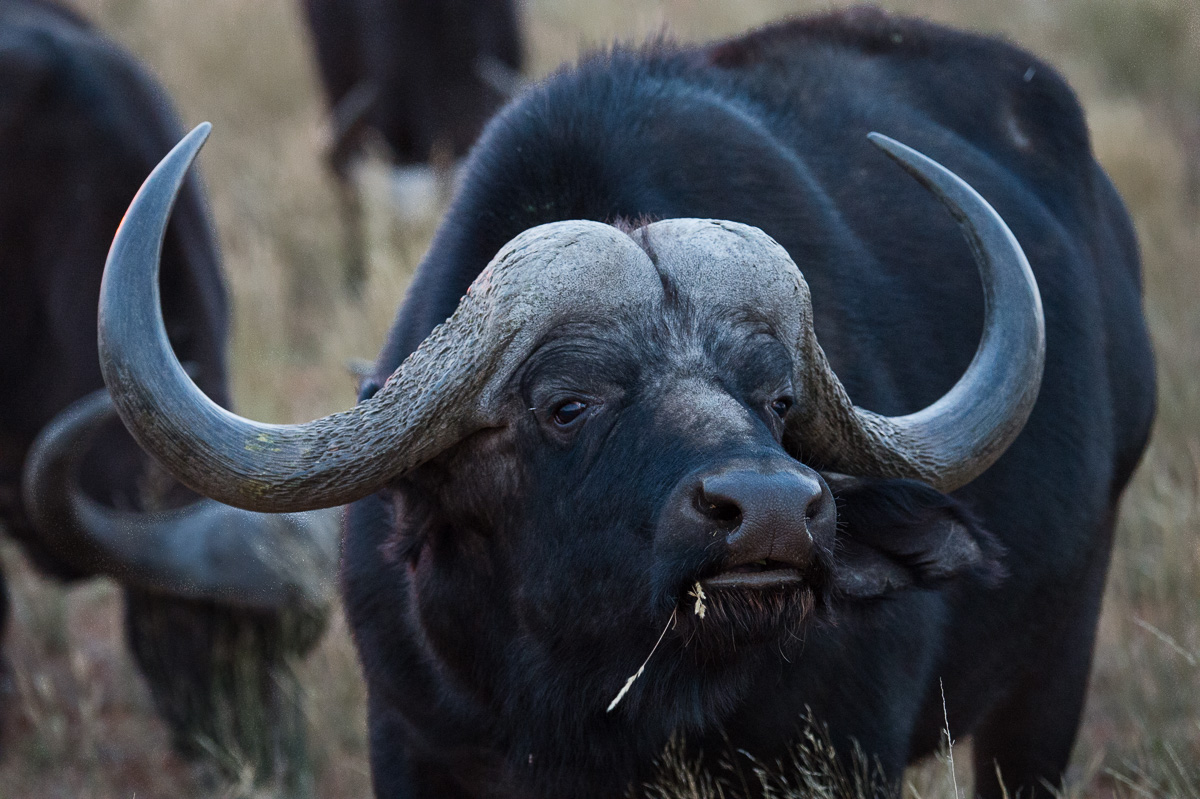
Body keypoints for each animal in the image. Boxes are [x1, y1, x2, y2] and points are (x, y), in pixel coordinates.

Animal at [99, 8, 1155, 799]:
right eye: (567, 404)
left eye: (777, 399)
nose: (773, 511)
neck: (592, 708)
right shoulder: (412, 743)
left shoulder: (847, 751)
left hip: (1053, 674)